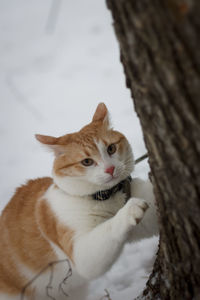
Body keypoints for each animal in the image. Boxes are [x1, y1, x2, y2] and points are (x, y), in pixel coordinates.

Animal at [0, 103, 159, 300]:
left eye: (111, 149)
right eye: (87, 162)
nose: (110, 169)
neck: (107, 197)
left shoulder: (144, 218)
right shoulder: (81, 251)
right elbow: (107, 231)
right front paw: (129, 210)